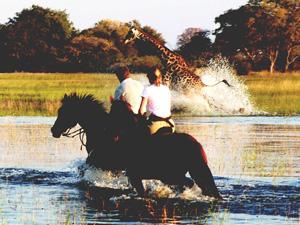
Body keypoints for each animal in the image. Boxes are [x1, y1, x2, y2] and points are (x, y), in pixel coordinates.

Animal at [50, 93, 221, 199]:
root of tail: (196, 146)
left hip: (170, 175)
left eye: (63, 112)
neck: (103, 131)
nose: (54, 130)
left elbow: (83, 169)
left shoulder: (102, 163)